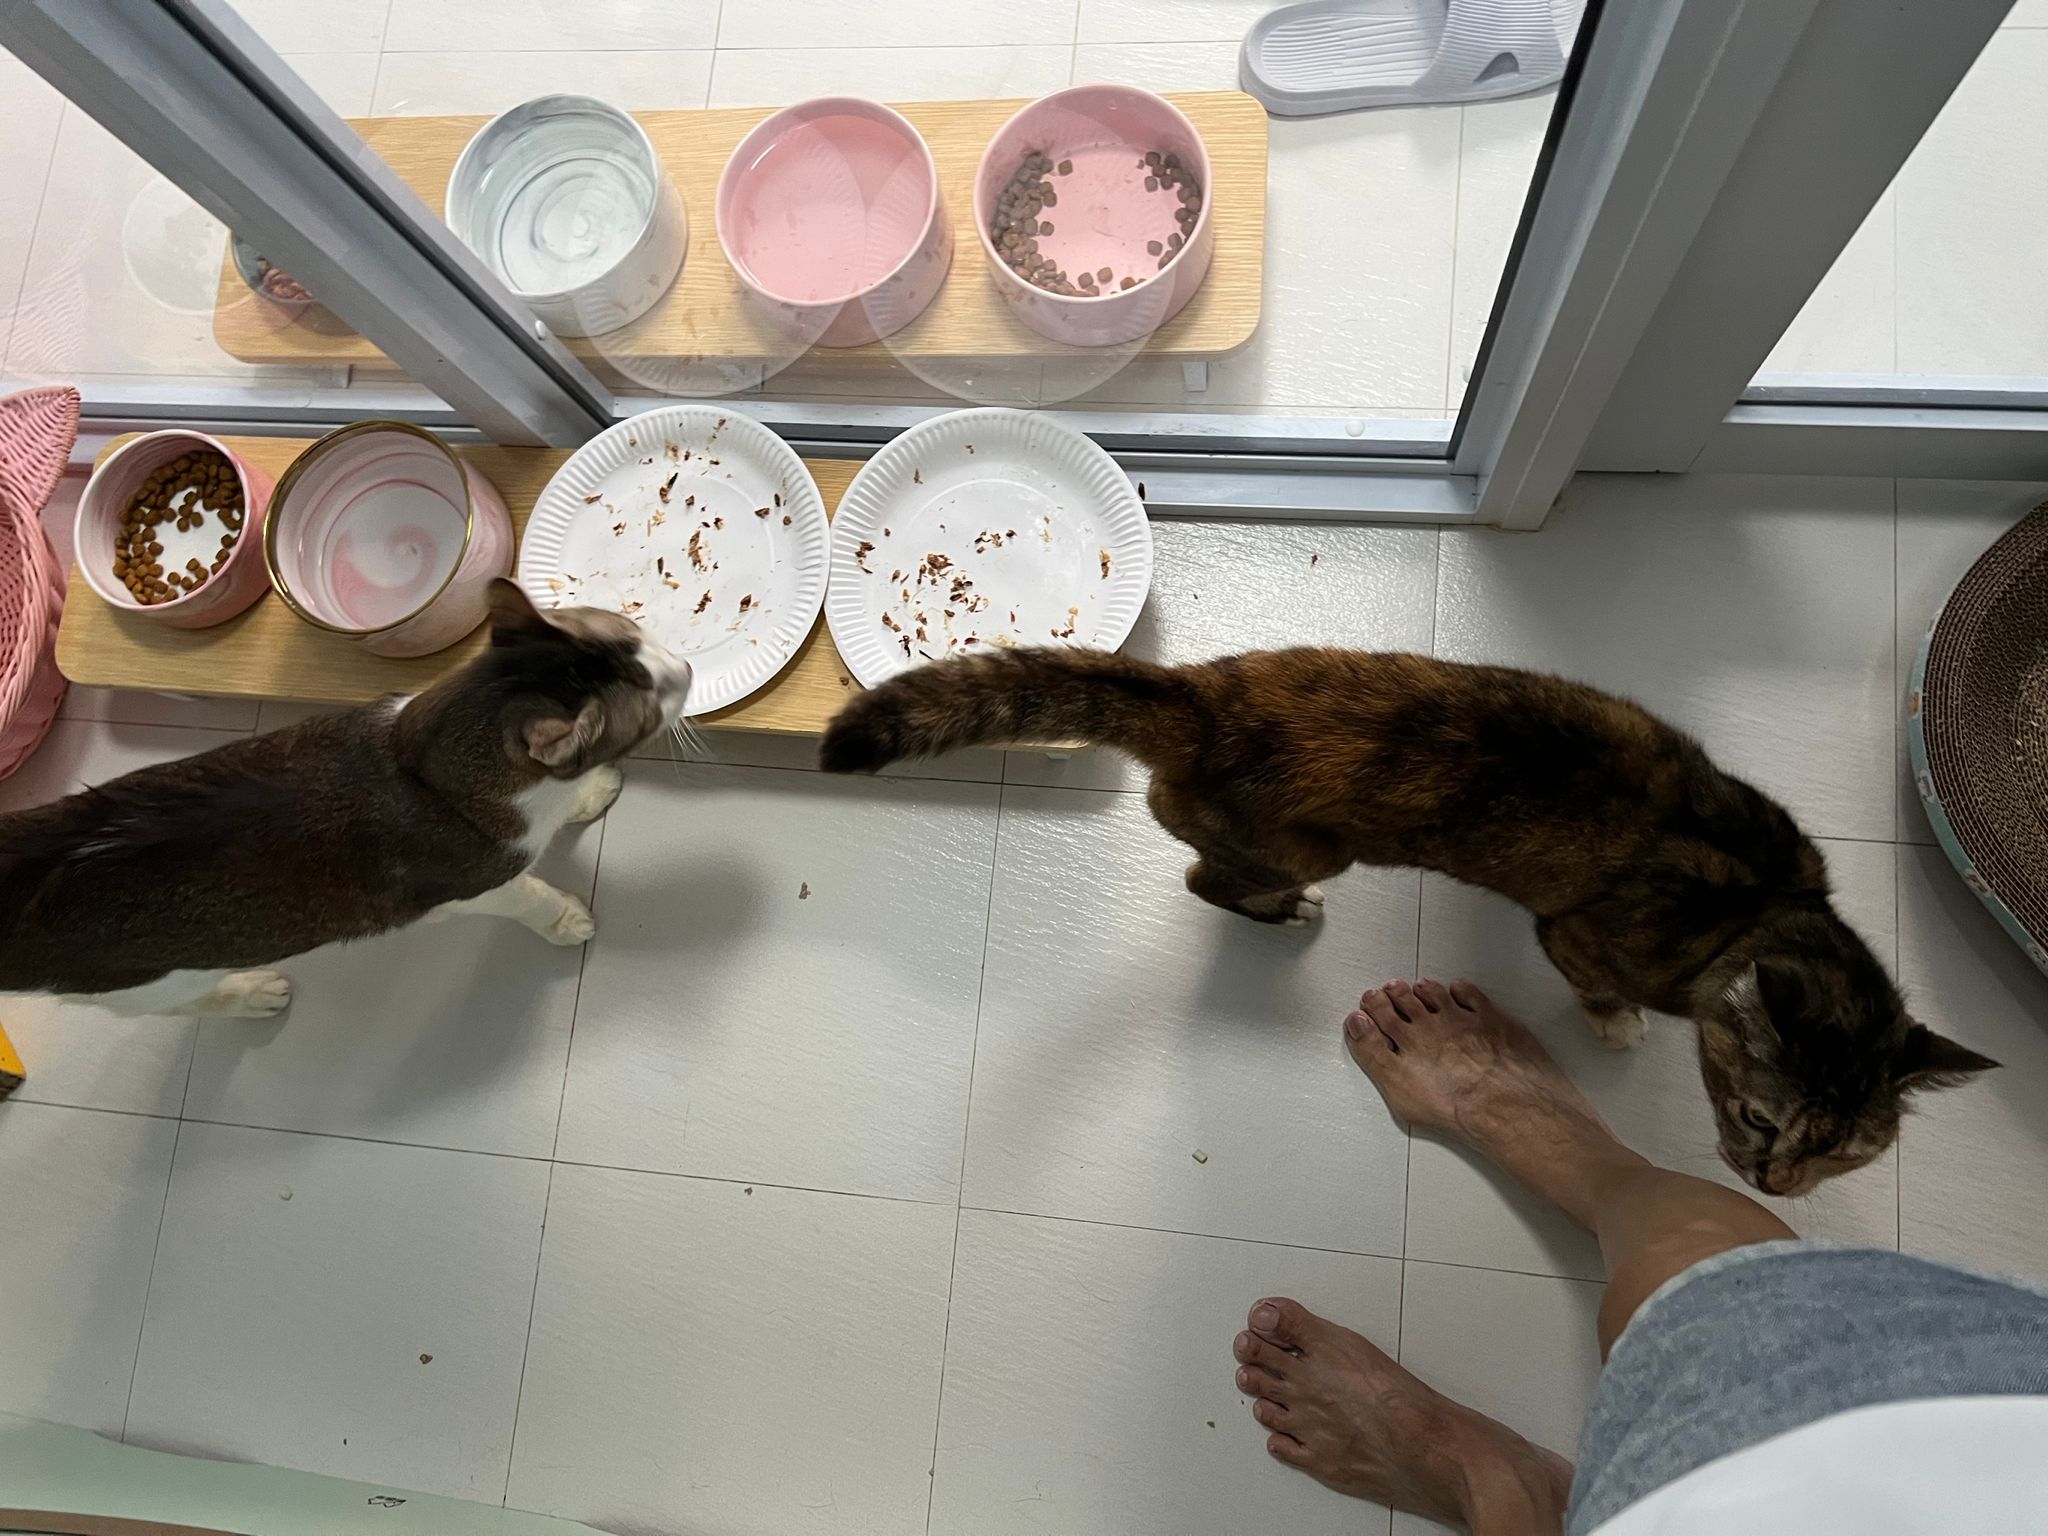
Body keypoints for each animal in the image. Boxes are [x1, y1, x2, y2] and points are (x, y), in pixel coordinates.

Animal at [0, 580, 689, 1018]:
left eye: (634, 630)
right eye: (654, 702)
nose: (683, 666)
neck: (422, 760)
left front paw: (590, 790)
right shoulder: (469, 886)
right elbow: (528, 894)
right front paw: (566, 918)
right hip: (145, 984)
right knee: (175, 1007)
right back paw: (253, 995)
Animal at [820, 645, 1999, 1197]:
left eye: (1847, 1155)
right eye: (1760, 1121)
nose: (1773, 1187)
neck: (1768, 903)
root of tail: (1198, 695)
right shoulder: (1572, 935)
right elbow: (1598, 986)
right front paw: (1618, 1029)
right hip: (1305, 844)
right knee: (1202, 877)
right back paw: (1284, 910)